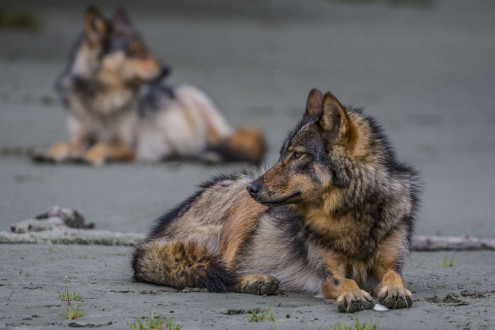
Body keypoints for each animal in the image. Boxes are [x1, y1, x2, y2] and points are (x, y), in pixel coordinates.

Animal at [35, 5, 266, 165]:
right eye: (134, 51)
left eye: (147, 48)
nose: (166, 69)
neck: (102, 95)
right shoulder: (79, 136)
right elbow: (65, 143)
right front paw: (51, 152)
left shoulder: (130, 146)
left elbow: (102, 145)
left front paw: (90, 155)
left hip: (190, 95)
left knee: (230, 143)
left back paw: (211, 154)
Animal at [131, 89, 418, 314]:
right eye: (281, 155)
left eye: (297, 155)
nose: (252, 188)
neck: (351, 212)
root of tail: (154, 238)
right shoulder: (327, 271)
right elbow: (342, 281)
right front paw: (354, 293)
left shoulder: (391, 261)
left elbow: (395, 275)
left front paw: (395, 291)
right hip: (245, 211)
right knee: (219, 271)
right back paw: (257, 281)